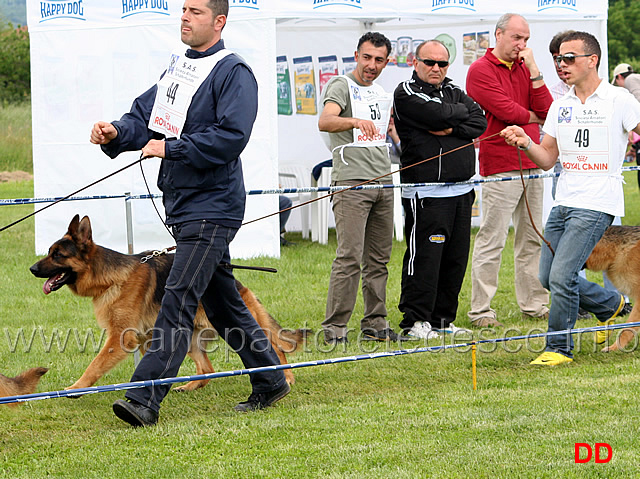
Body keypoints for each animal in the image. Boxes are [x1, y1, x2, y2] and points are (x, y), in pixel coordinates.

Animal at [29, 216, 308, 392]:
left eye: (57, 255)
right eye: (49, 251)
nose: (31, 269)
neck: (111, 276)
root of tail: (237, 282)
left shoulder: (120, 337)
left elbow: (94, 365)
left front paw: (76, 388)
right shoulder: (145, 339)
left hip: (235, 326)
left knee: (275, 348)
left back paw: (287, 376)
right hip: (190, 338)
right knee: (206, 369)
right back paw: (190, 385)